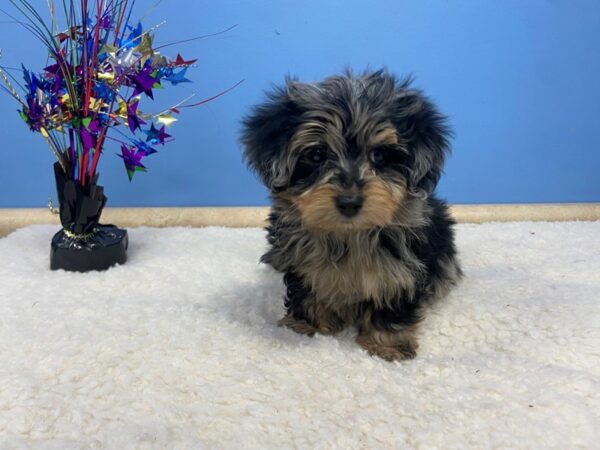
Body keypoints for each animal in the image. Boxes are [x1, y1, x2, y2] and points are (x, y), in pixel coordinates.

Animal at [239, 68, 460, 360]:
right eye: (317, 155)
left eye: (379, 155)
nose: (349, 202)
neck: (348, 234)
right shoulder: (298, 260)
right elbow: (306, 288)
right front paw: (308, 324)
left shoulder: (406, 265)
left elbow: (393, 293)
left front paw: (386, 343)